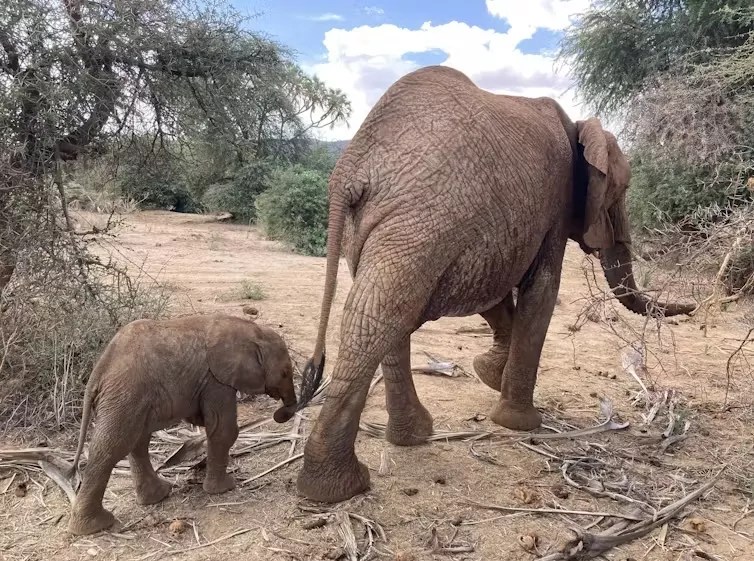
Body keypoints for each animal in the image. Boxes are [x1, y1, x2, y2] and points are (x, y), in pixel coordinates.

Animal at [66, 313, 299, 536]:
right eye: (285, 372)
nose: (281, 413)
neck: (251, 329)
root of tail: (99, 371)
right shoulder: (216, 380)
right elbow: (223, 430)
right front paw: (225, 489)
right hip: (125, 395)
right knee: (112, 447)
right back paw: (96, 526)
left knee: (136, 441)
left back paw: (157, 496)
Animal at [294, 65, 696, 503]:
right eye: (620, 191)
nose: (692, 307)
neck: (577, 127)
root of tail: (351, 171)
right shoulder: (554, 203)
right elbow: (541, 290)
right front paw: (520, 423)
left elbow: (497, 290)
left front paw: (488, 374)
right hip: (424, 216)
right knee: (380, 315)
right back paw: (340, 487)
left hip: (386, 224)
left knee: (384, 312)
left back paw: (406, 440)